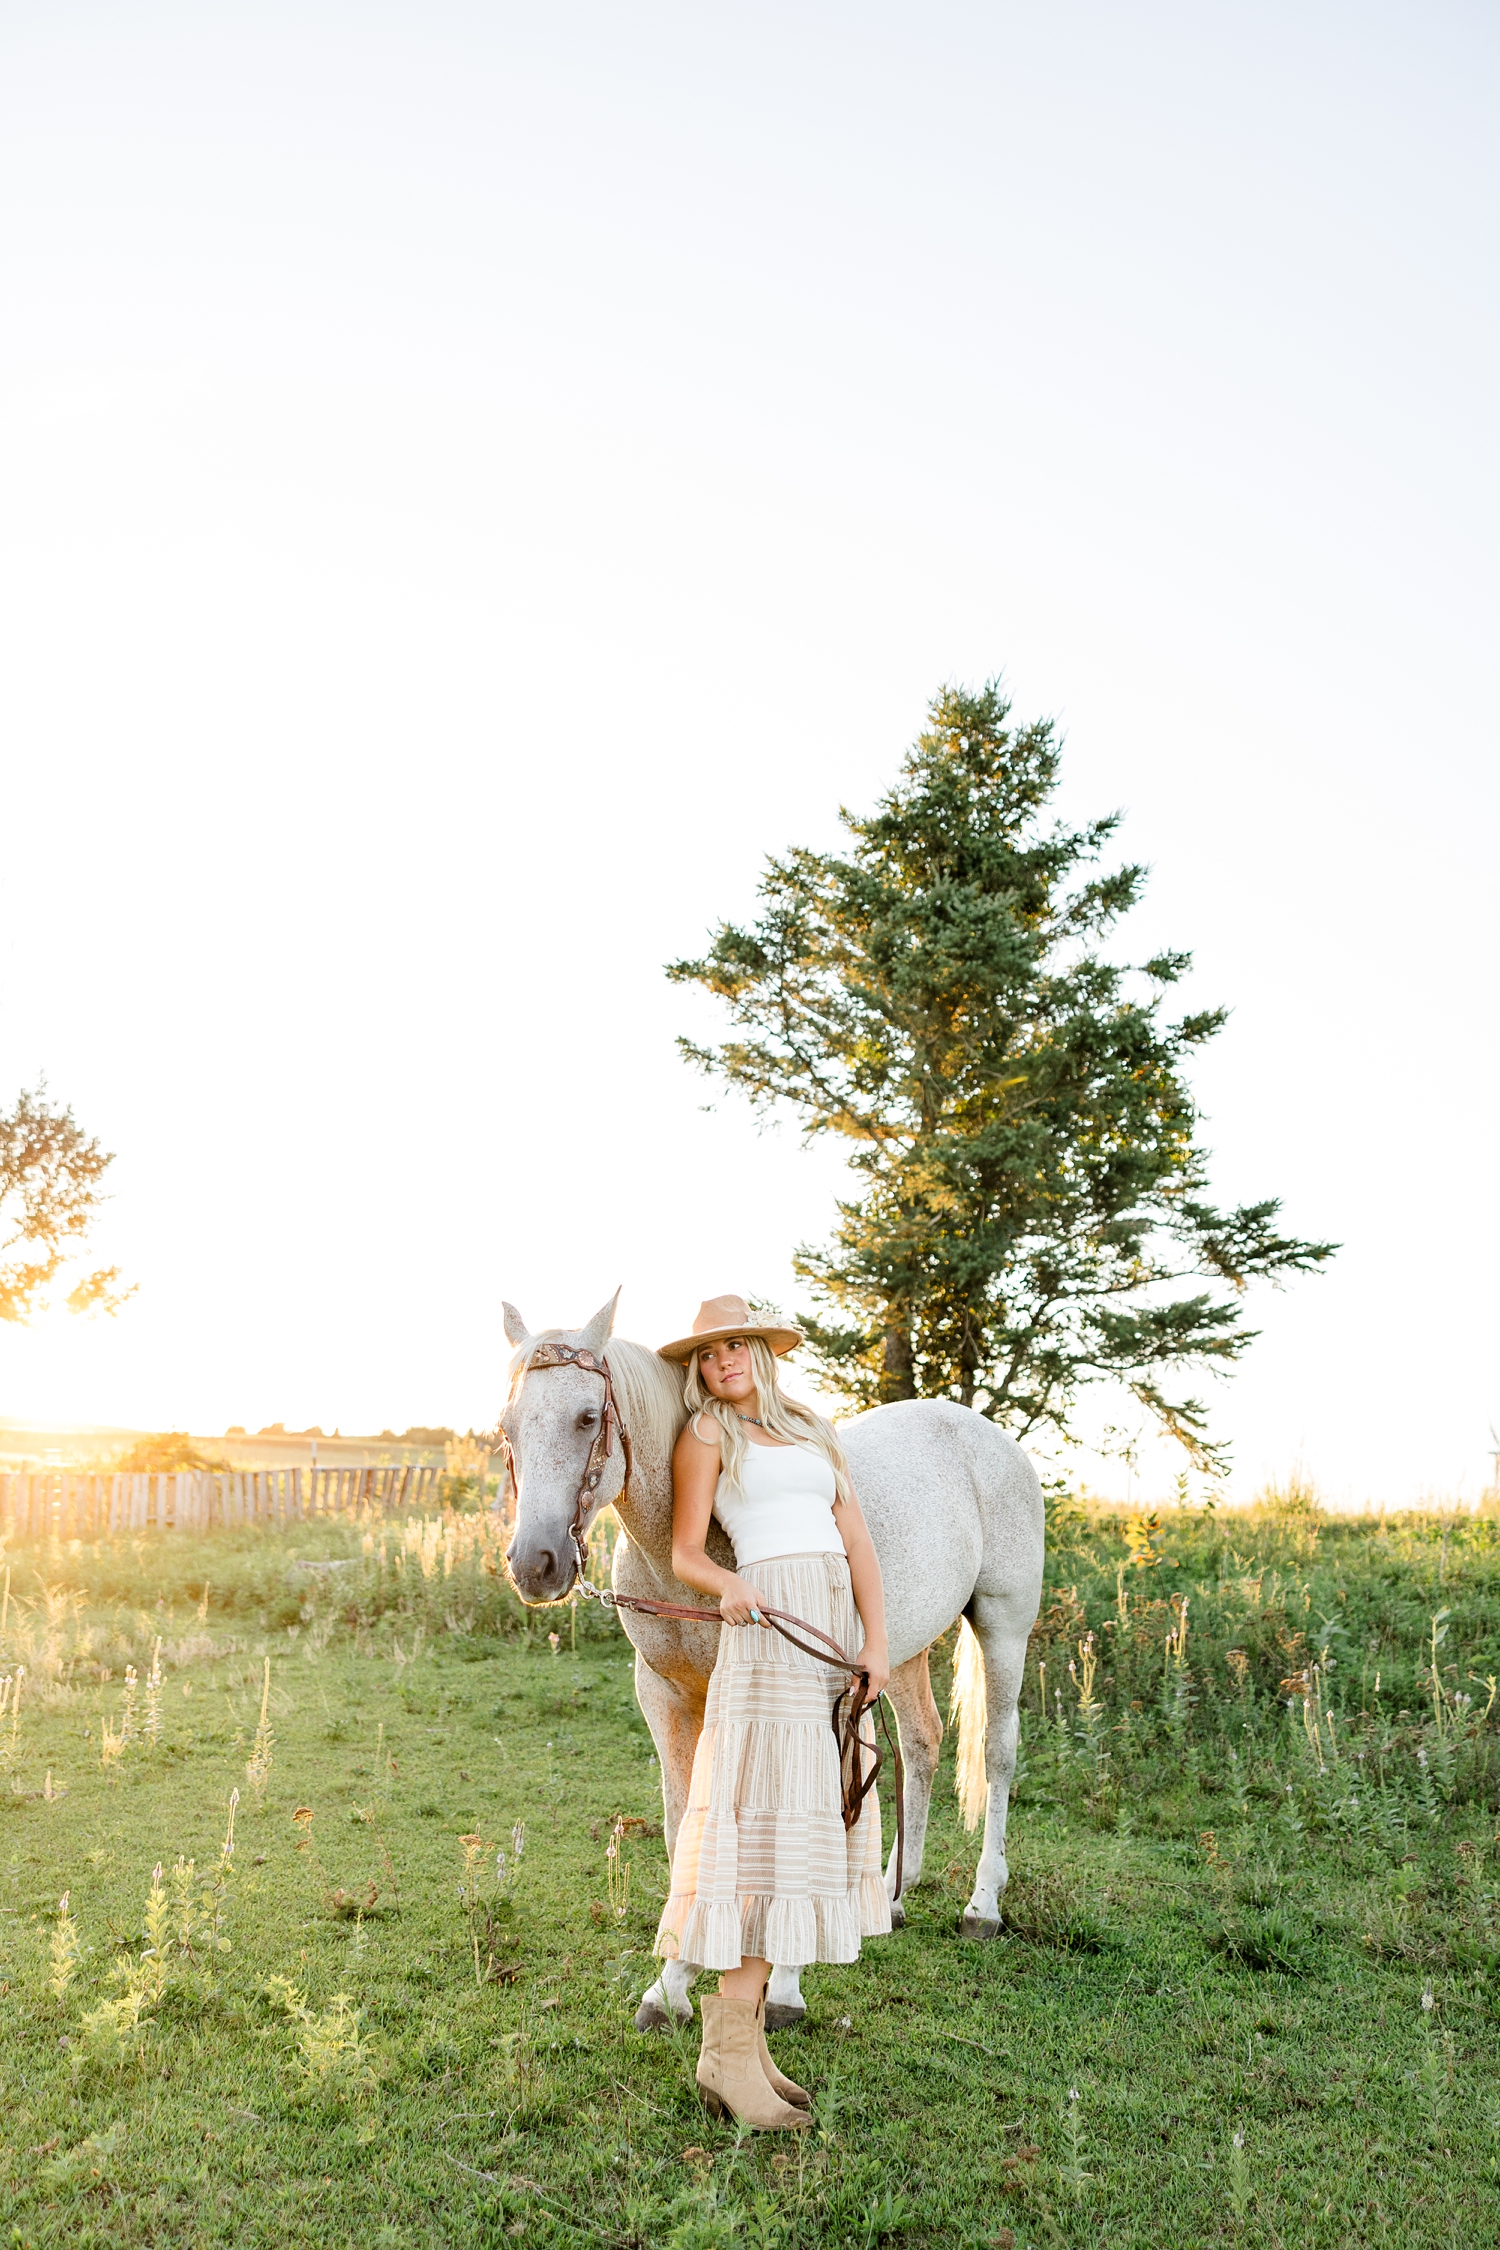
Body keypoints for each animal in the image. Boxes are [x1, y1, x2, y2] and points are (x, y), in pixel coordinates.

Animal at [498, 1293, 1045, 2031]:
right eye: (507, 1427)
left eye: (587, 1417)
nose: (535, 1564)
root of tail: (990, 1438)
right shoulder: (664, 1696)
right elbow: (684, 1829)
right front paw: (671, 1986)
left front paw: (780, 1984)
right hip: (899, 1652)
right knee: (923, 1743)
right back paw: (893, 1893)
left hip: (1003, 1625)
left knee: (996, 1753)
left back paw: (982, 1907)